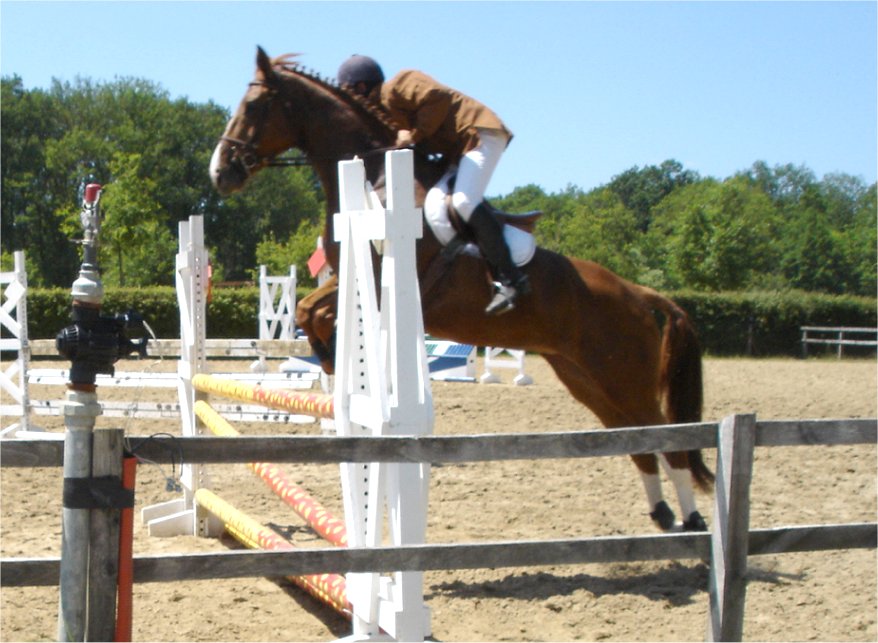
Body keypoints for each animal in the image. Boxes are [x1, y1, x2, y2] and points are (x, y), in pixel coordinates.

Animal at [210, 47, 714, 532]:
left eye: (253, 106)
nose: (220, 173)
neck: (373, 174)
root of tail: (638, 293)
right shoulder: (346, 275)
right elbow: (306, 309)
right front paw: (331, 359)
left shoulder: (391, 278)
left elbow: (316, 312)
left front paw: (335, 357)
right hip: (585, 378)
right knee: (637, 439)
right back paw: (663, 514)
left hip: (625, 376)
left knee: (669, 438)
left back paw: (691, 518)